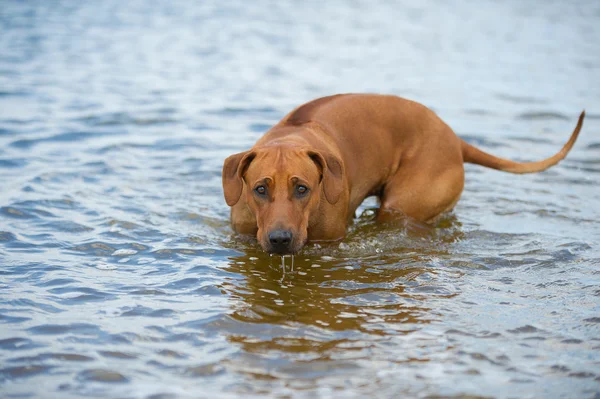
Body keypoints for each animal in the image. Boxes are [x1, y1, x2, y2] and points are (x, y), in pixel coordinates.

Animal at [223, 94, 584, 255]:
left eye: (302, 189)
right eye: (260, 189)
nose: (280, 239)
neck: (291, 137)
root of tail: (455, 139)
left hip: (405, 202)